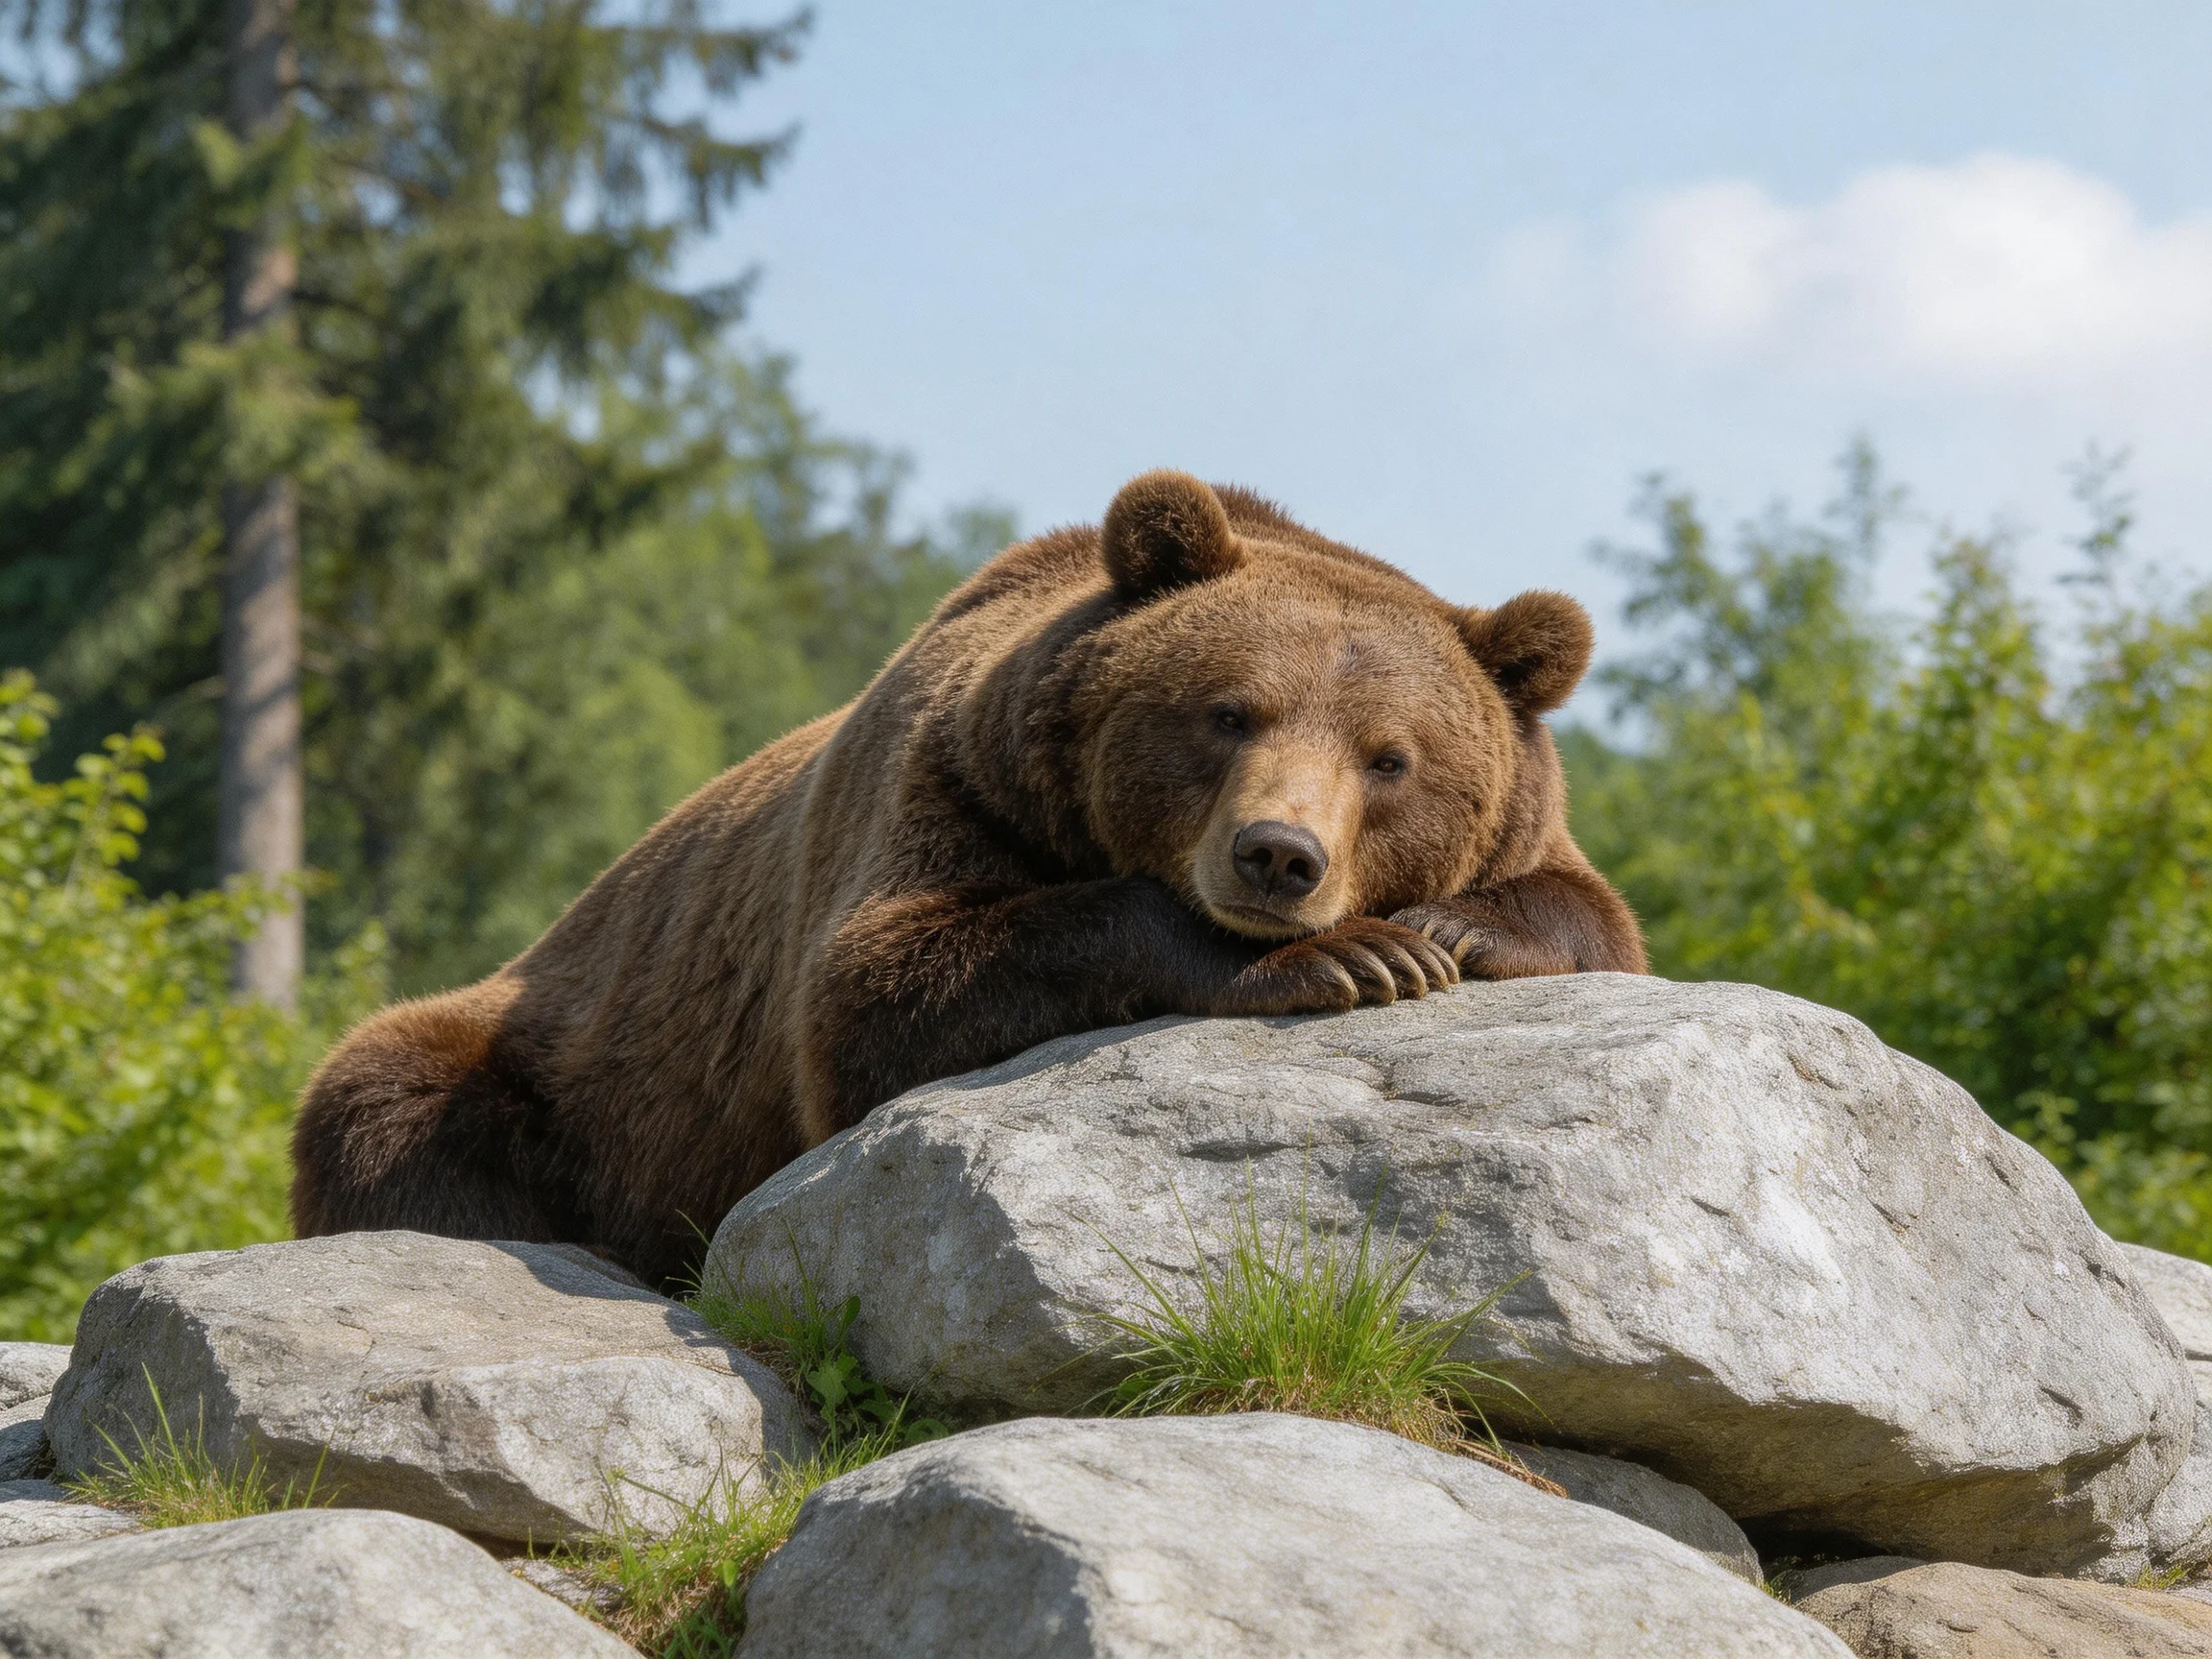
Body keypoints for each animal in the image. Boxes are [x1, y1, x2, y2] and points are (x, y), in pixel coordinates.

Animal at [291, 470, 1646, 1286]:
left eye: (1390, 759)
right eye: (1228, 712)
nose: (1278, 856)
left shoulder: (1542, 833)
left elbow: (1596, 914)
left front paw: (1444, 931)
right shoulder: (945, 789)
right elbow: (878, 991)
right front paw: (1349, 956)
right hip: (562, 1063)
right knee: (384, 1099)